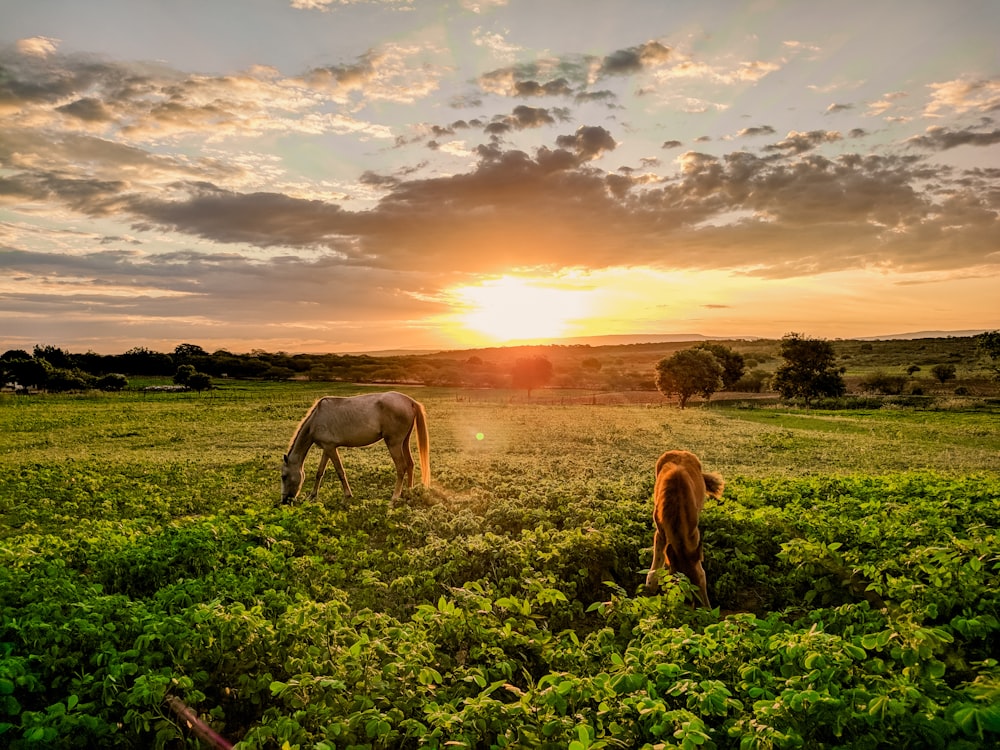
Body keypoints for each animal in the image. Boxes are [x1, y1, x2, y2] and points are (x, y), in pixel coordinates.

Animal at [280, 394, 428, 506]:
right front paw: (312, 496)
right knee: (410, 464)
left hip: (394, 443)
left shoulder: (330, 448)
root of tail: (410, 402)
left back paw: (394, 498)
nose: (284, 501)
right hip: (404, 442)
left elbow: (340, 471)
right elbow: (319, 472)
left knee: (401, 467)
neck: (317, 418)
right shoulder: (327, 448)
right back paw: (409, 493)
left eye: (284, 476)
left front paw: (347, 496)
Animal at [644, 452, 724, 604]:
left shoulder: (693, 534)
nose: (703, 607)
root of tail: (680, 451)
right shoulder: (661, 532)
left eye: (703, 580)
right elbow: (657, 561)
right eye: (681, 588)